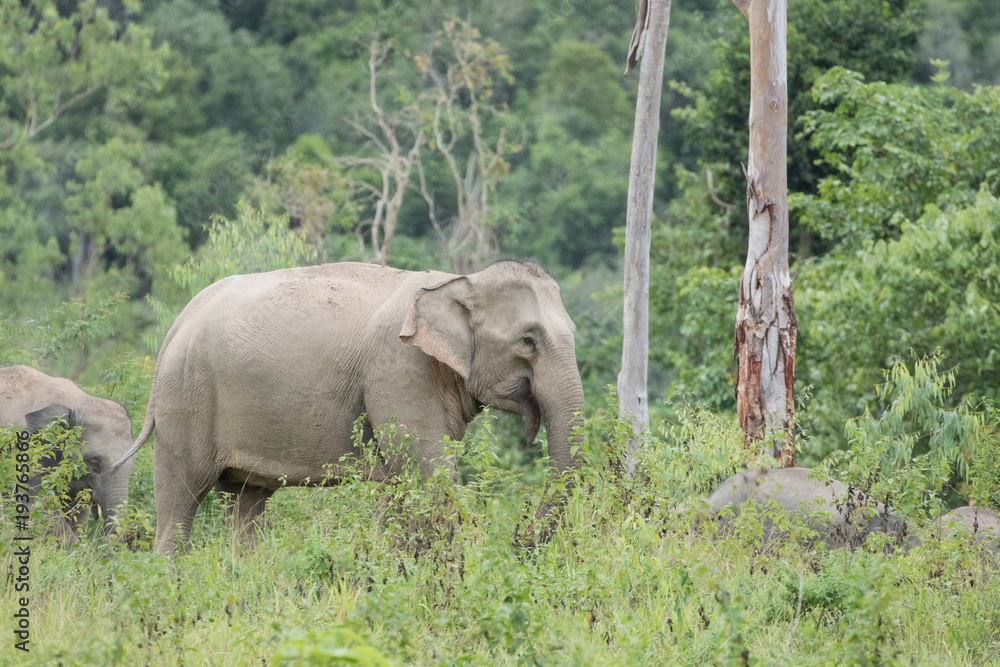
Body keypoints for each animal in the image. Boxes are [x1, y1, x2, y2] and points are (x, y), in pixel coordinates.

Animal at [106, 260, 586, 554]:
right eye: (528, 341)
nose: (520, 539)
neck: (461, 279)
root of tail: (177, 323)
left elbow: (406, 485)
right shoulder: (399, 371)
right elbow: (430, 477)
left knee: (245, 501)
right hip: (187, 399)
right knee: (181, 497)